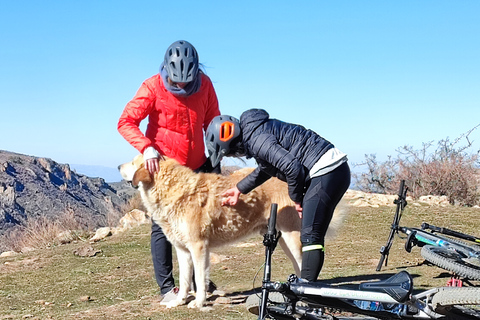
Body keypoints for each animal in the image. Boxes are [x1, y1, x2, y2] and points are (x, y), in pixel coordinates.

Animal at [118, 155, 344, 310]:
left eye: (133, 162)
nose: (119, 166)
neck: (175, 190)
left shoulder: (199, 247)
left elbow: (200, 279)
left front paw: (199, 303)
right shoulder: (182, 251)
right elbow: (184, 280)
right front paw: (179, 301)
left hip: (292, 238)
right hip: (283, 240)